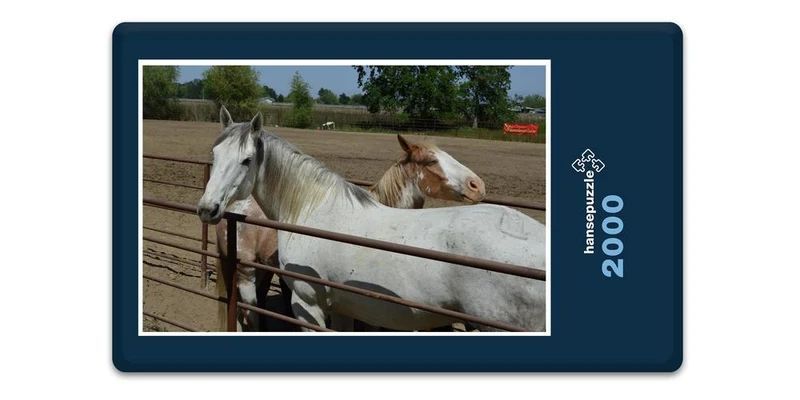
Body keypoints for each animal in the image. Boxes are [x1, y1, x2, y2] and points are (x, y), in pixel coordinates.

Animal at [198, 108, 546, 332]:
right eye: (214, 155)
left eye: (246, 160)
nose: (207, 208)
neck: (313, 209)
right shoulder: (343, 307)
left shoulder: (308, 306)